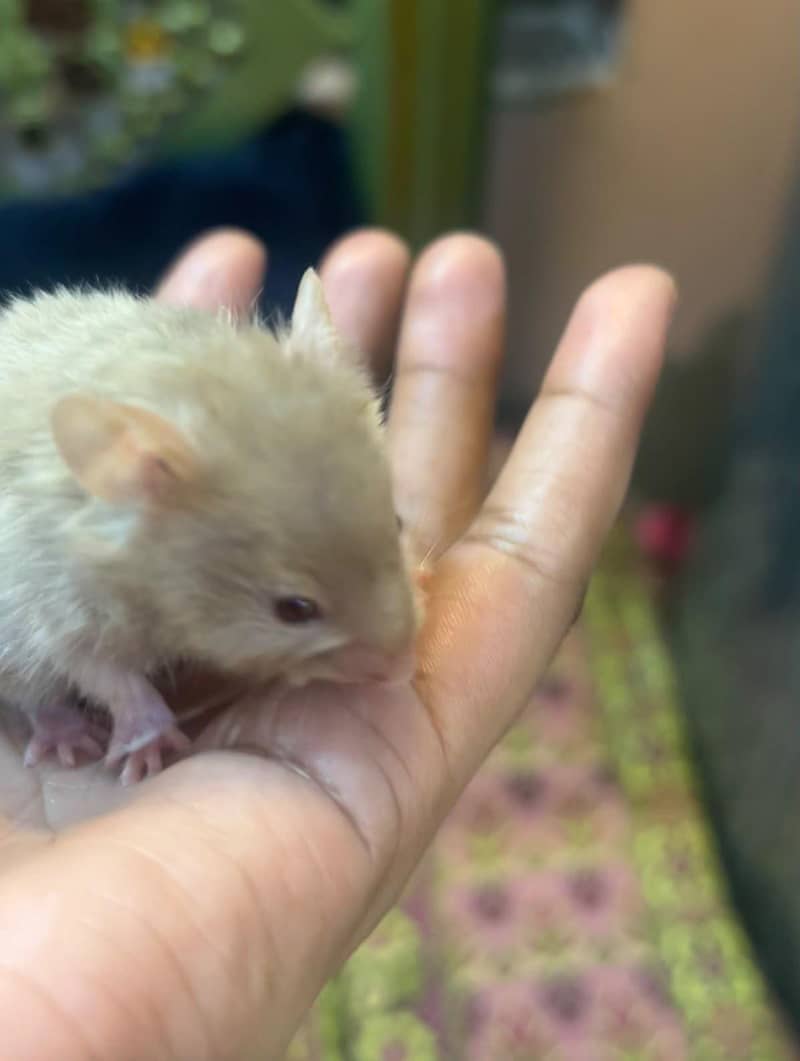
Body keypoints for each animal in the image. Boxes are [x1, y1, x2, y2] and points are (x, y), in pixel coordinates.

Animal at [0, 270, 422, 784]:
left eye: (397, 523)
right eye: (294, 609)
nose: (406, 672)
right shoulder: (57, 613)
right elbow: (109, 677)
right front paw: (148, 749)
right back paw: (66, 736)